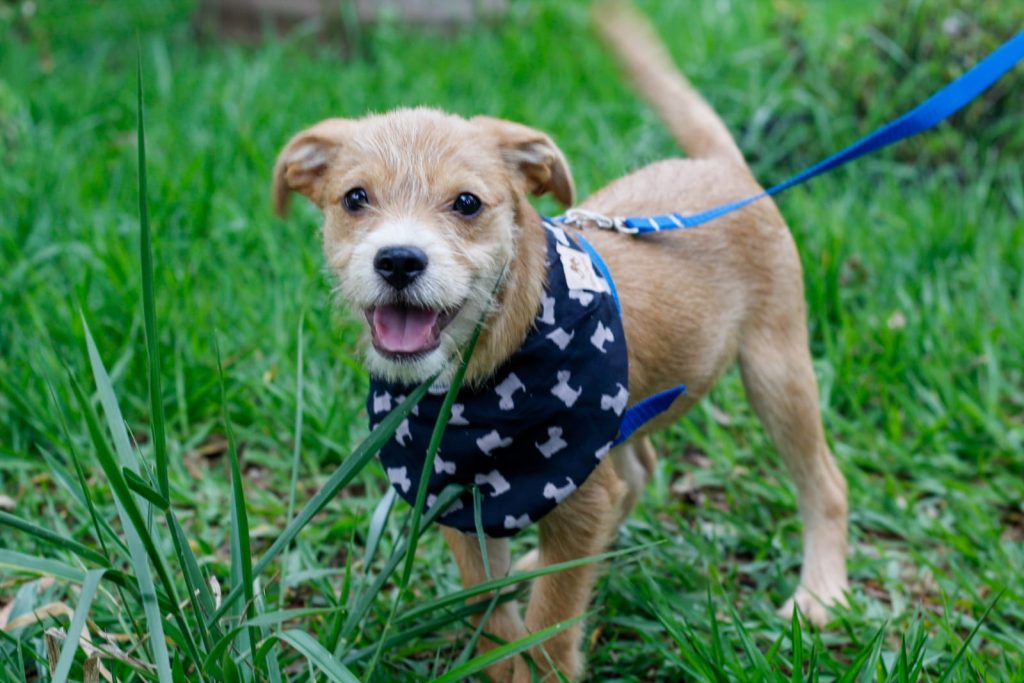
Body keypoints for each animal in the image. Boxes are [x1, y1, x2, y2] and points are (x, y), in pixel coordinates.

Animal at [270, 3, 847, 679]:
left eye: (467, 203)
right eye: (355, 198)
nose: (399, 261)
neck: (480, 381)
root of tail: (724, 167)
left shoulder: (571, 488)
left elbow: (549, 624)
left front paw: (542, 662)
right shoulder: (453, 493)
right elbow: (489, 615)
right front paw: (503, 651)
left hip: (777, 371)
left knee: (824, 483)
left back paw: (820, 597)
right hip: (626, 414)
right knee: (637, 473)